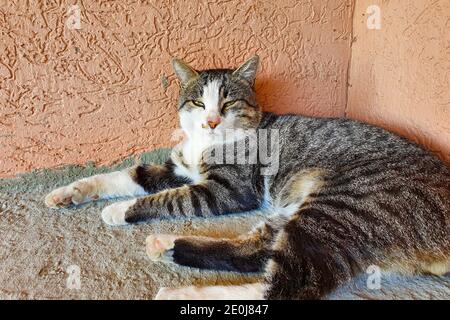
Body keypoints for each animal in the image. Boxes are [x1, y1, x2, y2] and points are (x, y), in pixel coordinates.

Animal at [46, 55, 450, 300]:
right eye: (198, 102)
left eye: (228, 103)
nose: (211, 121)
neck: (207, 143)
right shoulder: (177, 168)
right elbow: (128, 175)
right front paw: (70, 191)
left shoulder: (227, 190)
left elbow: (169, 199)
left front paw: (121, 210)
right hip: (306, 209)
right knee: (256, 251)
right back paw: (166, 245)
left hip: (343, 207)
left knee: (282, 285)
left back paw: (180, 292)